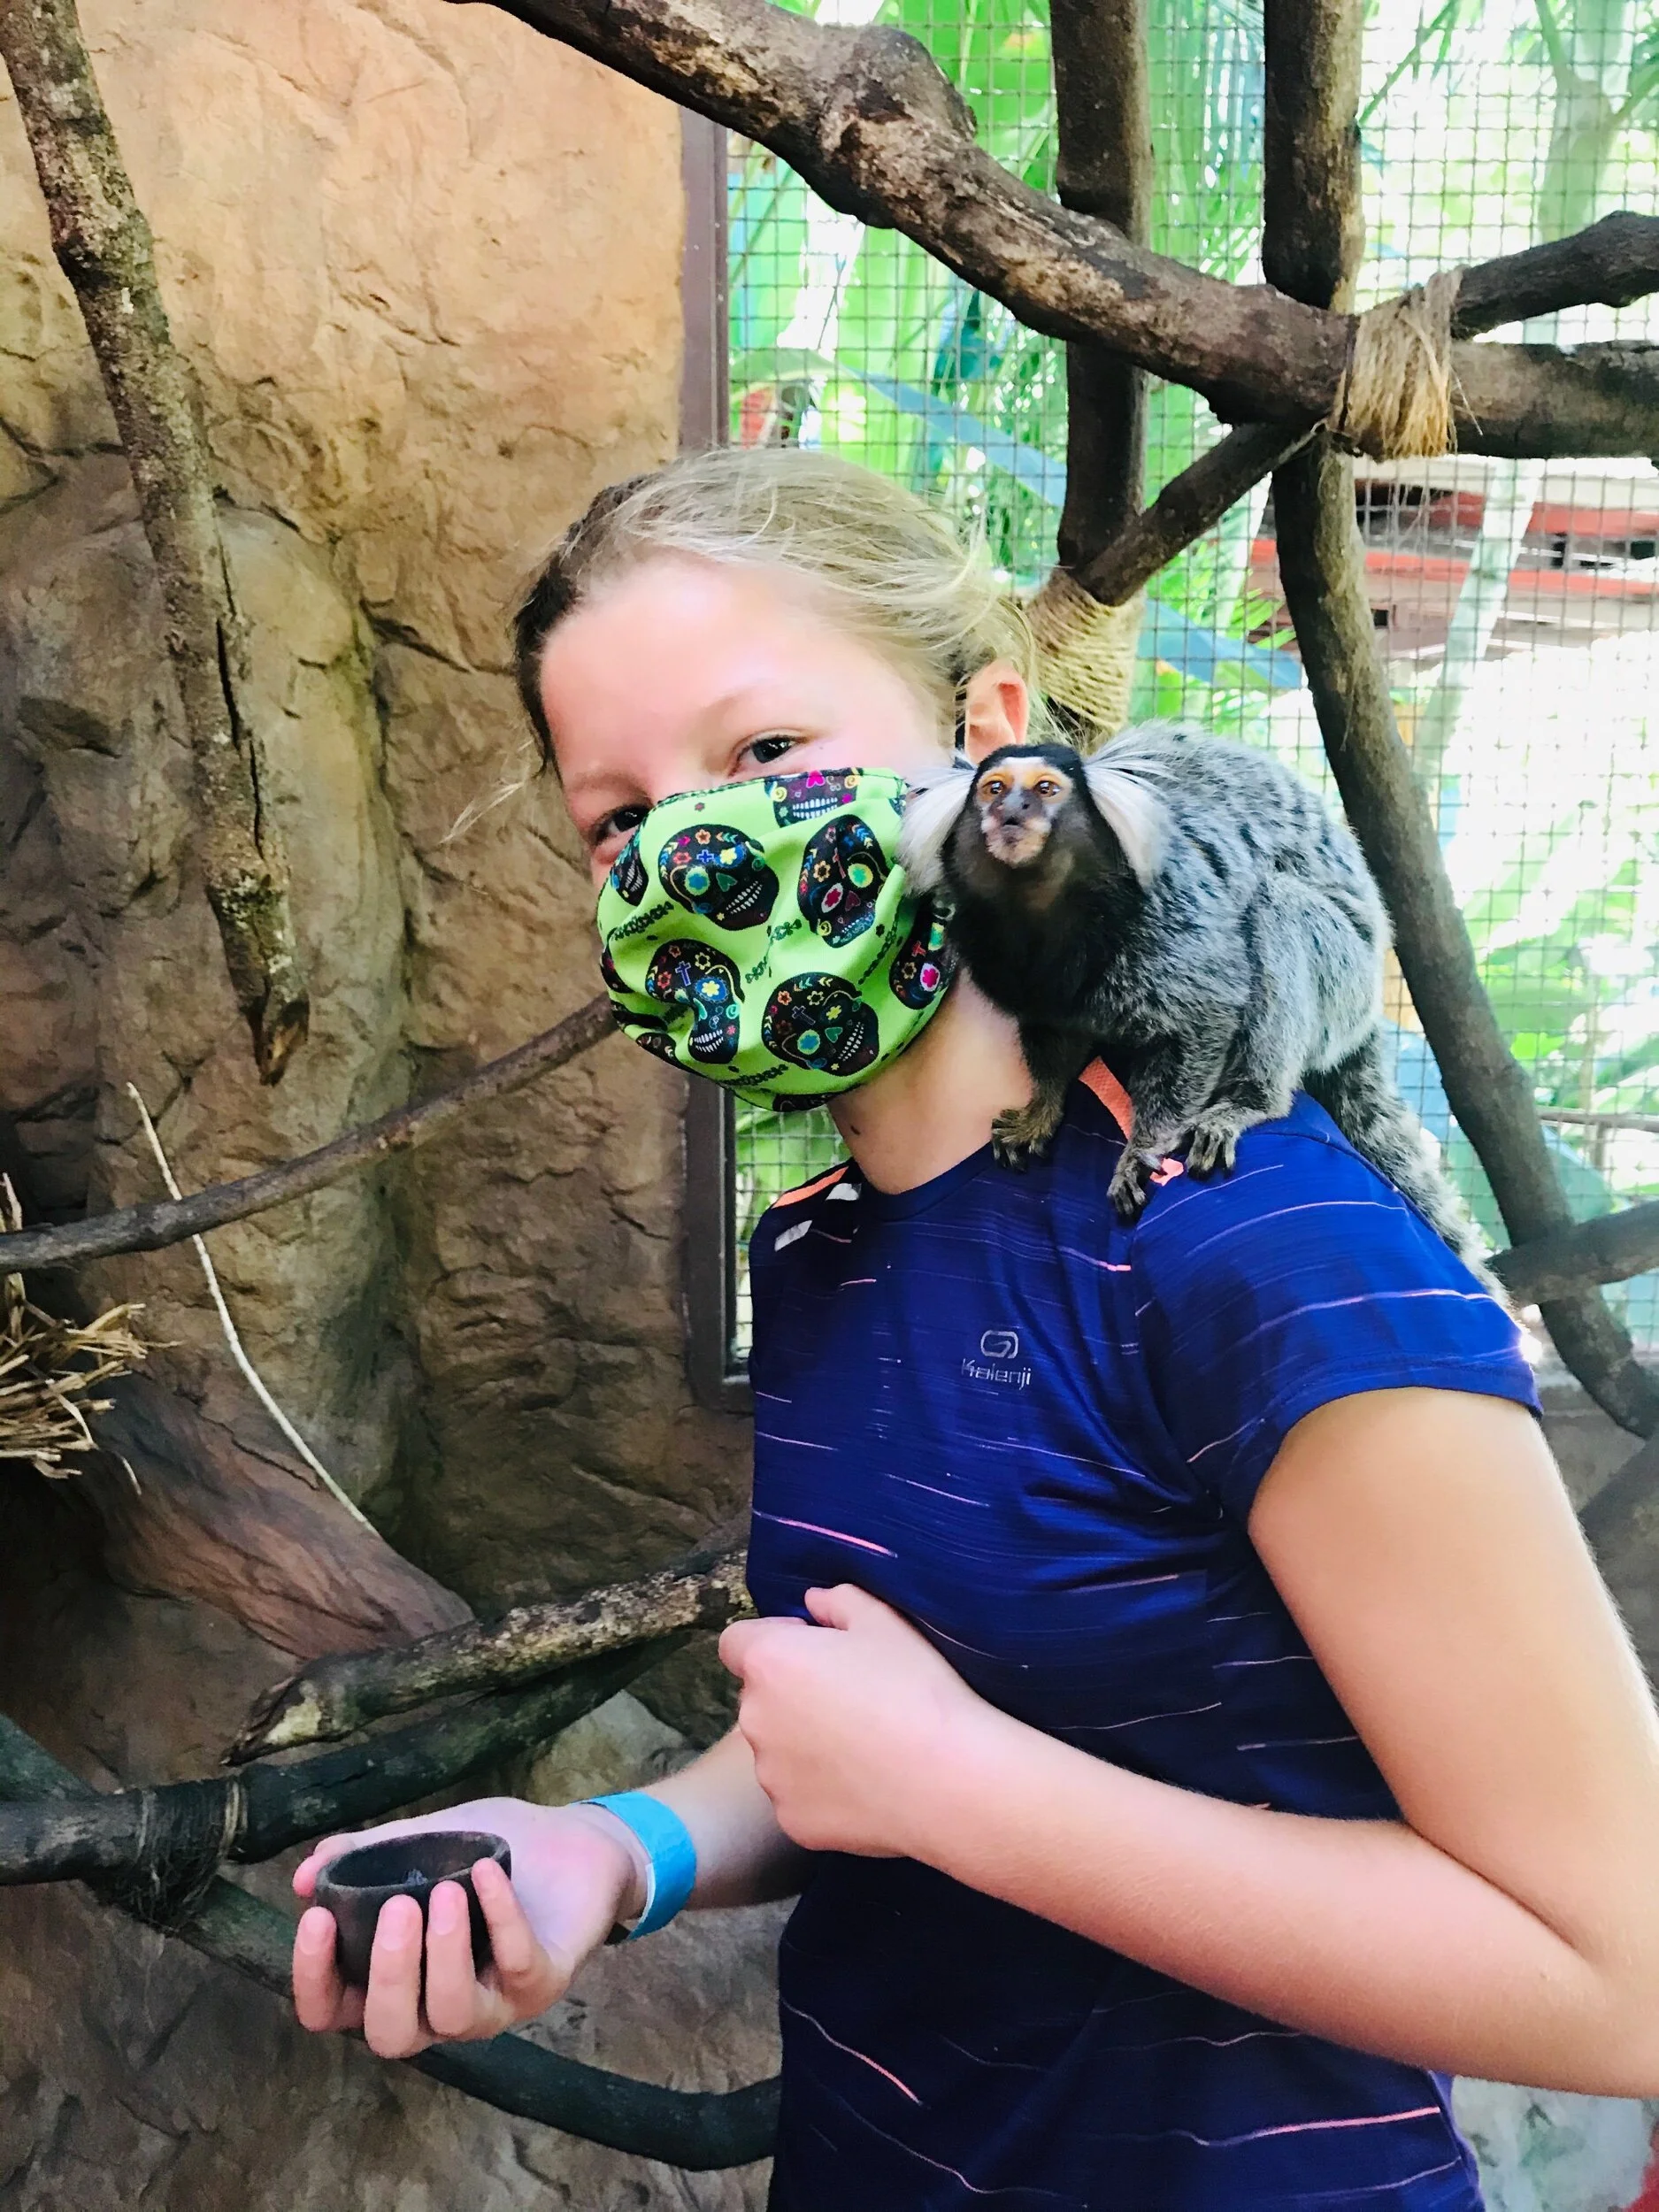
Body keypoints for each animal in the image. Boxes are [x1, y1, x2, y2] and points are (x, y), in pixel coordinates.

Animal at [898, 725, 1486, 1271]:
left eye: (1045, 789)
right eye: (994, 789)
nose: (1013, 810)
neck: (1043, 918)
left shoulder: (1172, 921)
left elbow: (1204, 1021)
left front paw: (1143, 1148)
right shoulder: (1021, 975)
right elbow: (1051, 1041)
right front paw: (1041, 1111)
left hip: (1346, 975)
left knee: (1280, 908)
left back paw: (1251, 1100)